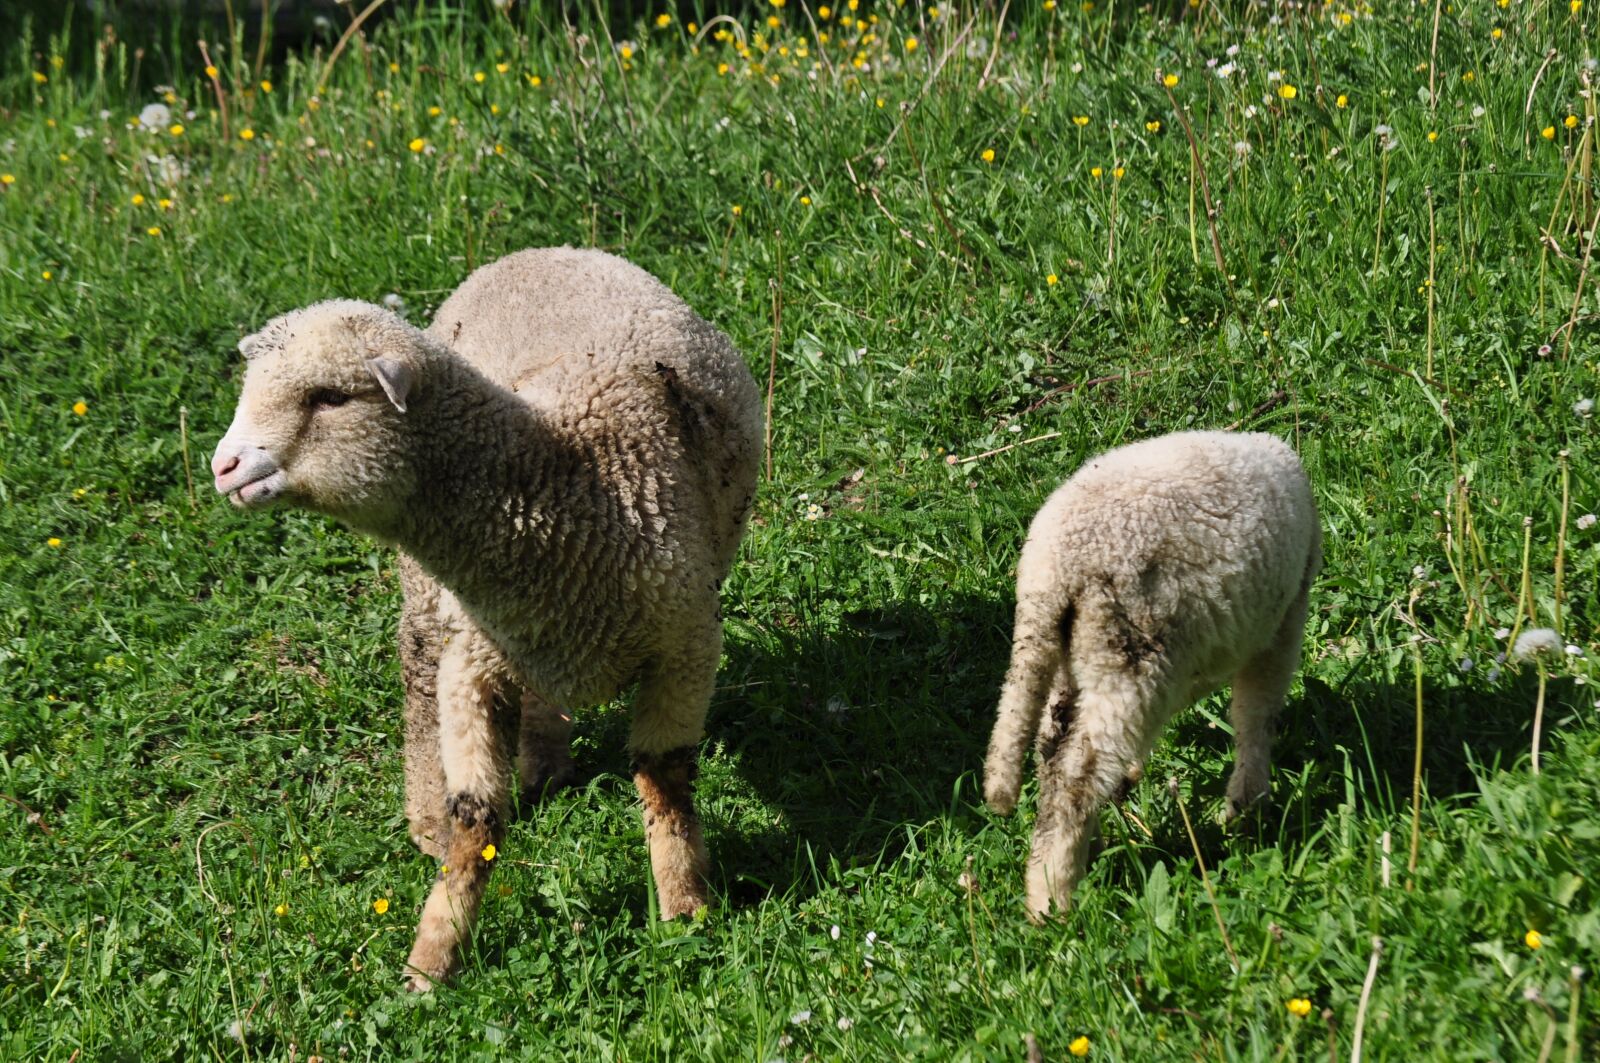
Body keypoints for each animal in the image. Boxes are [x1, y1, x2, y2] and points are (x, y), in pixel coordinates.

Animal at [211, 247, 762, 990]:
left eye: (329, 397)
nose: (224, 467)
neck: (569, 481)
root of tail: (538, 251)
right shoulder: (469, 665)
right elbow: (476, 818)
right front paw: (432, 957)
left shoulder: (685, 649)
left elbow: (665, 780)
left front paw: (684, 910)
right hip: (430, 602)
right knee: (416, 666)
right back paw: (427, 819)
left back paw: (546, 764)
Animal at [981, 430, 1320, 920]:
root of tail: (1052, 572)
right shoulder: (1284, 621)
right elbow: (1256, 715)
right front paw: (1247, 807)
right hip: (1131, 656)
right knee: (1076, 779)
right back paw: (1053, 903)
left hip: (1074, 658)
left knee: (1054, 754)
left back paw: (1080, 854)